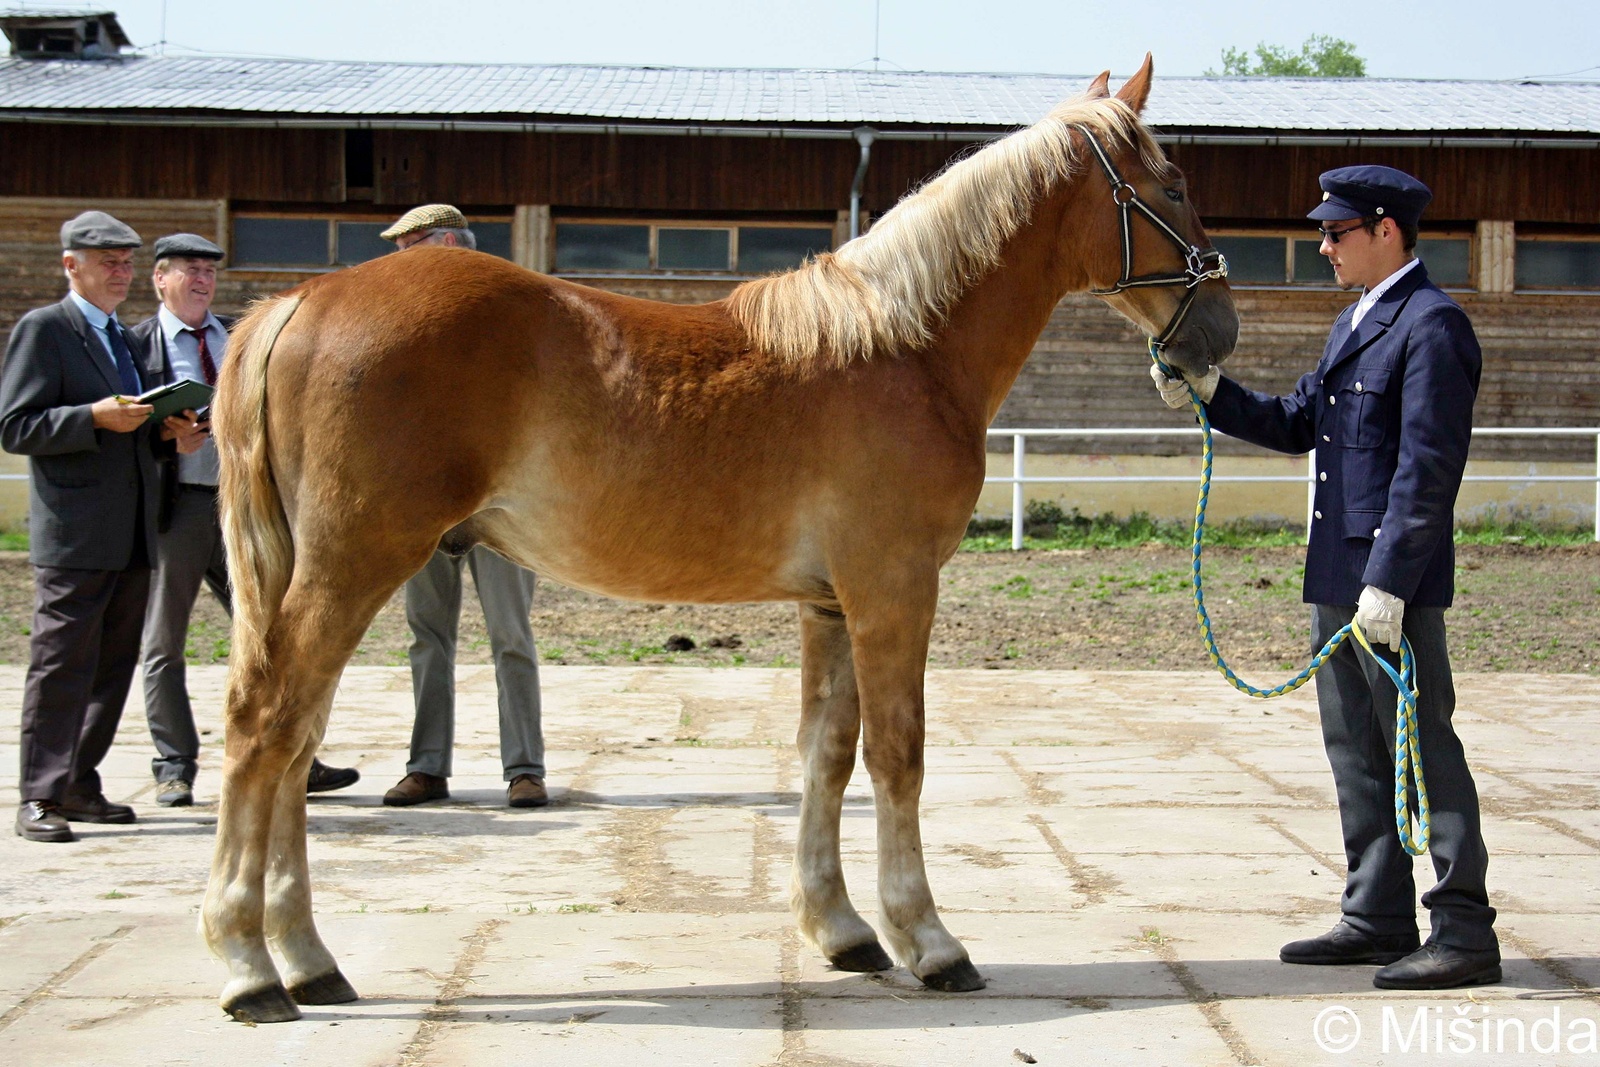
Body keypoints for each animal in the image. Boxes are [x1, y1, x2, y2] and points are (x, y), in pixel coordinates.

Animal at [203, 56, 1235, 1017]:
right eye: (1175, 182)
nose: (1217, 333)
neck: (905, 348)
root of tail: (302, 301)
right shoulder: (894, 591)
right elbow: (897, 753)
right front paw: (930, 939)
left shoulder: (833, 604)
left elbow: (826, 751)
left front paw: (842, 929)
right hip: (352, 566)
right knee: (267, 723)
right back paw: (250, 966)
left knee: (295, 736)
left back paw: (306, 958)